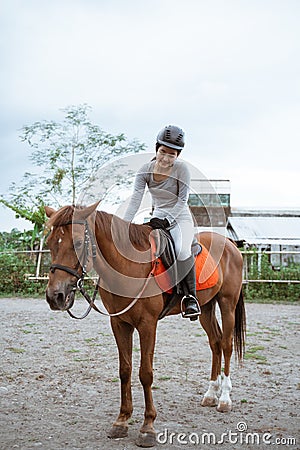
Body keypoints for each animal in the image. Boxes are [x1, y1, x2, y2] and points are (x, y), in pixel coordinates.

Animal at [45, 203, 246, 446]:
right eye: (50, 242)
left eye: (78, 242)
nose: (55, 296)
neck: (127, 266)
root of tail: (230, 245)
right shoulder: (119, 323)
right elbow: (125, 370)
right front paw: (121, 421)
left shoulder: (147, 325)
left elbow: (145, 373)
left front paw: (147, 427)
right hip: (206, 308)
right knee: (215, 343)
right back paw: (210, 395)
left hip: (227, 304)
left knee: (226, 345)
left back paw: (224, 398)